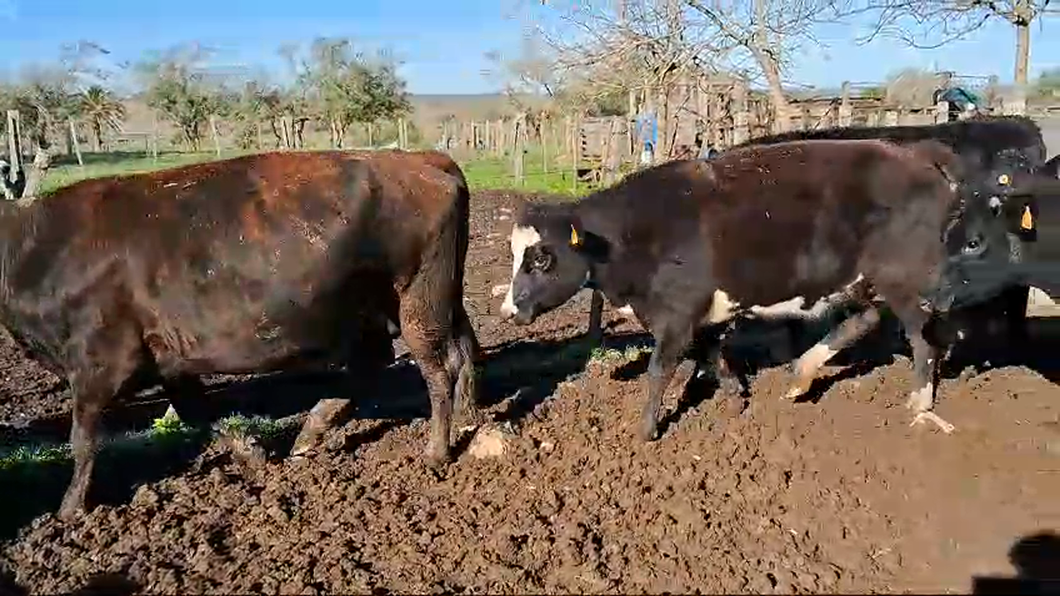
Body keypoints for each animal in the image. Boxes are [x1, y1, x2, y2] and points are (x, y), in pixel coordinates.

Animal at [0, 147, 481, 515]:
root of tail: (417, 158)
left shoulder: (99, 359)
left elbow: (82, 440)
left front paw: (69, 509)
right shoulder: (170, 358)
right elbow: (199, 414)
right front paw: (250, 452)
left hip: (418, 301)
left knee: (438, 370)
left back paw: (436, 451)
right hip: (387, 306)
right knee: (409, 361)